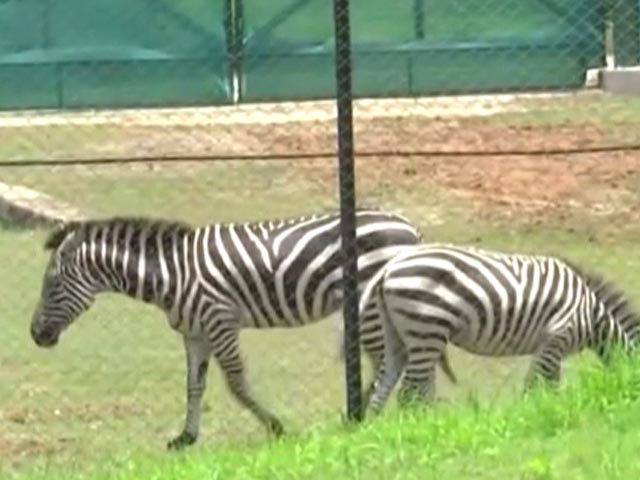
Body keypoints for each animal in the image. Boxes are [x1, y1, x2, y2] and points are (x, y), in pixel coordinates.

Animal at [30, 209, 432, 449]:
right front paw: (186, 437)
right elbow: (194, 385)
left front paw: (276, 427)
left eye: (52, 285)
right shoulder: (194, 332)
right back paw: (367, 413)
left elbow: (236, 383)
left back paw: (366, 414)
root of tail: (407, 225)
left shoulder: (220, 321)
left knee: (389, 358)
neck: (172, 274)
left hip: (370, 299)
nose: (35, 335)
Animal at [358, 244, 640, 414]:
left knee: (384, 385)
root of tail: (388, 268)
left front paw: (548, 411)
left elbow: (549, 387)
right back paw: (423, 428)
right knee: (409, 393)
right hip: (428, 330)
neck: (593, 315)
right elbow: (536, 386)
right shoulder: (555, 339)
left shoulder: (551, 349)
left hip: (398, 335)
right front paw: (531, 417)